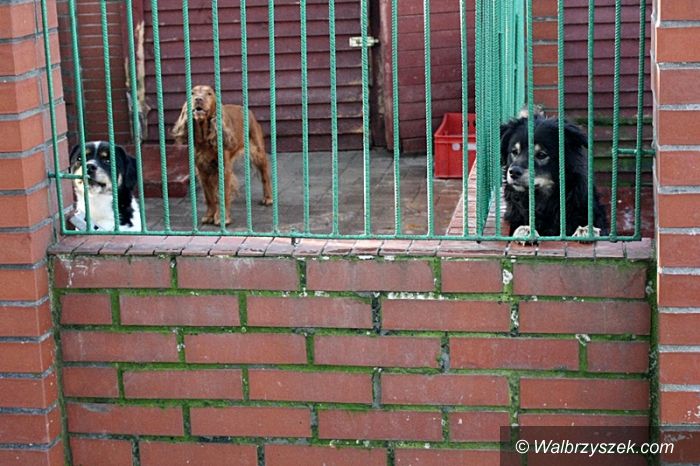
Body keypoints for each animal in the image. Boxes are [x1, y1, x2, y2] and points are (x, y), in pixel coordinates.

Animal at [171, 85, 273, 225]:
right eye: (192, 93)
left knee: (265, 174)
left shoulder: (223, 169)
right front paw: (209, 215)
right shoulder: (202, 170)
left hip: (257, 151)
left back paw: (268, 198)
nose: (198, 99)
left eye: (209, 93)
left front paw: (222, 217)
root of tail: (246, 109)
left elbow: (223, 194)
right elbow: (209, 196)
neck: (205, 139)